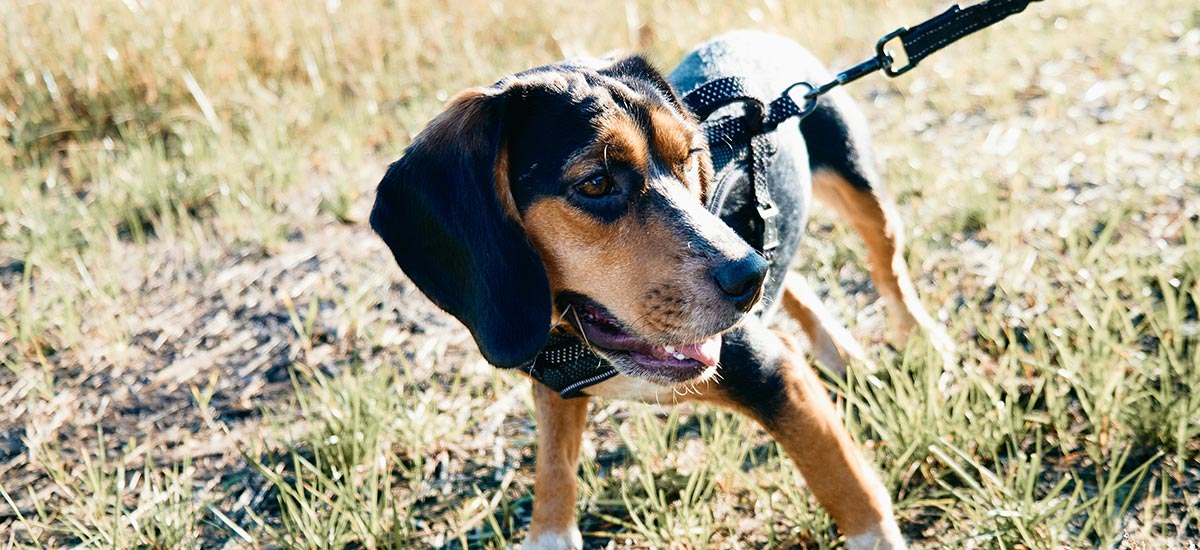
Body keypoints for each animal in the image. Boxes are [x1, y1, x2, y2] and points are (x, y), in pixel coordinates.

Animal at [369, 28, 950, 550]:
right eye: (596, 183)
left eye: (689, 157)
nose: (748, 278)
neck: (584, 349)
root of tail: (759, 31)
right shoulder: (552, 382)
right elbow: (553, 471)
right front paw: (548, 534)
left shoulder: (775, 375)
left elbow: (847, 488)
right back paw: (835, 347)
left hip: (859, 186)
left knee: (887, 267)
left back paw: (921, 340)